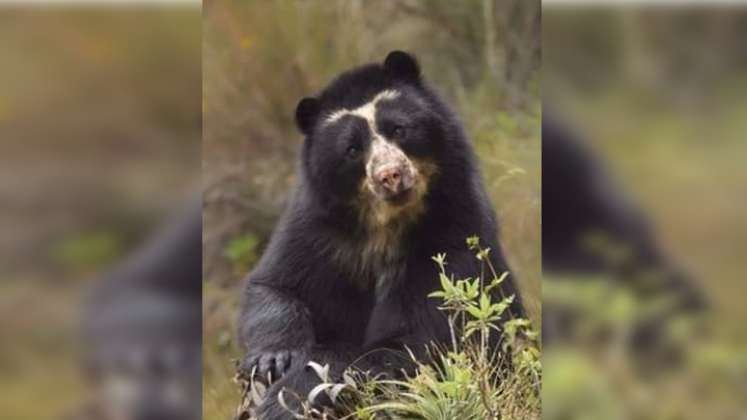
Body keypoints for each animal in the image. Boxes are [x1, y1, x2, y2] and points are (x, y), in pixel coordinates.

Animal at [238, 50, 524, 418]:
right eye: (351, 149)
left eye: (399, 129)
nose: (391, 175)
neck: (383, 225)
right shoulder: (318, 232)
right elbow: (275, 284)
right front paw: (272, 359)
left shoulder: (449, 231)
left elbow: (411, 340)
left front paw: (284, 401)